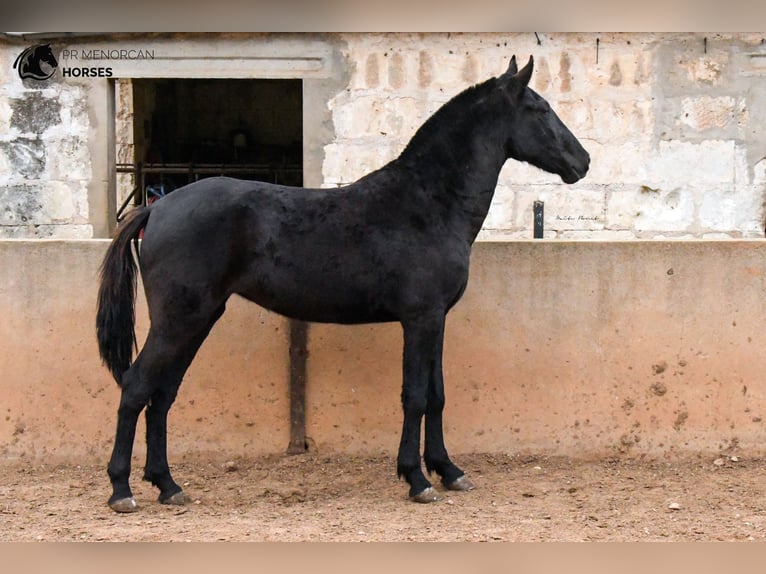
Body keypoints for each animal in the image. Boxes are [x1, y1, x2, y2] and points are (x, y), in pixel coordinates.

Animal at [94, 55, 588, 512]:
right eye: (540, 108)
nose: (582, 161)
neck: (428, 202)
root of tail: (157, 207)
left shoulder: (437, 320)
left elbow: (437, 394)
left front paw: (449, 470)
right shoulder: (420, 318)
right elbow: (415, 395)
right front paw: (417, 479)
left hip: (197, 320)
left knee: (162, 395)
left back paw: (168, 485)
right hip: (178, 321)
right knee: (136, 387)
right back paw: (122, 490)